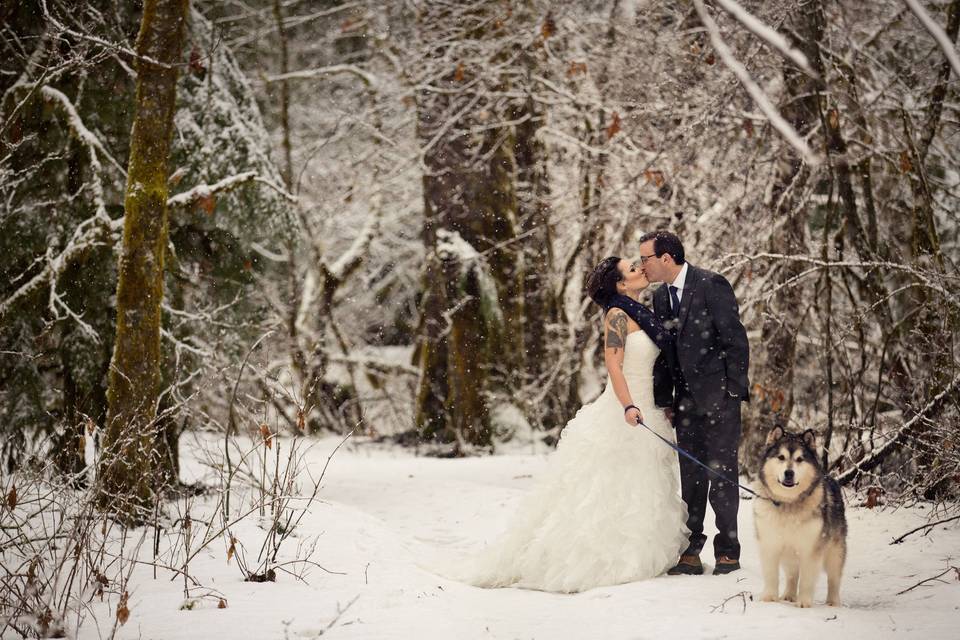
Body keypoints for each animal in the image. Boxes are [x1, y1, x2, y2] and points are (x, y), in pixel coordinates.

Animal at [752, 428, 844, 608]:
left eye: (800, 459)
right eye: (781, 457)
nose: (789, 473)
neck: (787, 503)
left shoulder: (811, 548)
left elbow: (807, 579)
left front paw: (804, 602)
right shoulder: (769, 543)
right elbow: (771, 574)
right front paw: (769, 598)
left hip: (834, 551)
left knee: (834, 579)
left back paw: (833, 601)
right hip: (790, 552)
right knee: (792, 574)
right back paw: (788, 595)